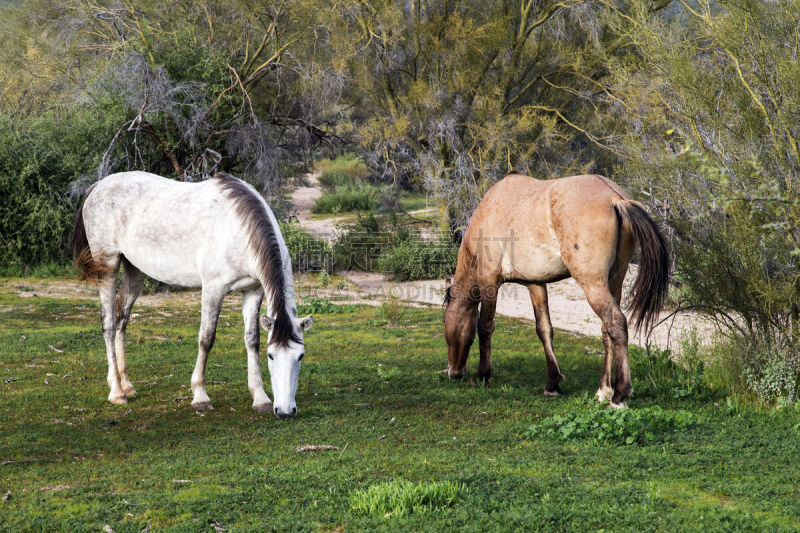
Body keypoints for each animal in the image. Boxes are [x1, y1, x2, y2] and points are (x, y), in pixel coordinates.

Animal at [70, 172, 312, 418]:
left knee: (122, 318)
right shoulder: (213, 289)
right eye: (271, 356)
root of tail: (98, 186)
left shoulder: (253, 290)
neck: (238, 229)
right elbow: (206, 339)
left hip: (134, 270)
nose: (285, 411)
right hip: (107, 266)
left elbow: (252, 340)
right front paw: (200, 396)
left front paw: (260, 398)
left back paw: (126, 384)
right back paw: (117, 392)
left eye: (300, 356)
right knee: (109, 322)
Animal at [444, 171, 668, 408]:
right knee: (607, 331)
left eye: (446, 325)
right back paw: (603, 390)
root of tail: (615, 198)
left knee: (616, 323)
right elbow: (544, 330)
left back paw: (619, 395)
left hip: (593, 284)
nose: (454, 372)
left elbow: (485, 327)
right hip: (614, 281)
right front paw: (552, 384)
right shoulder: (536, 284)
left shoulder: (489, 282)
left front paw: (482, 376)